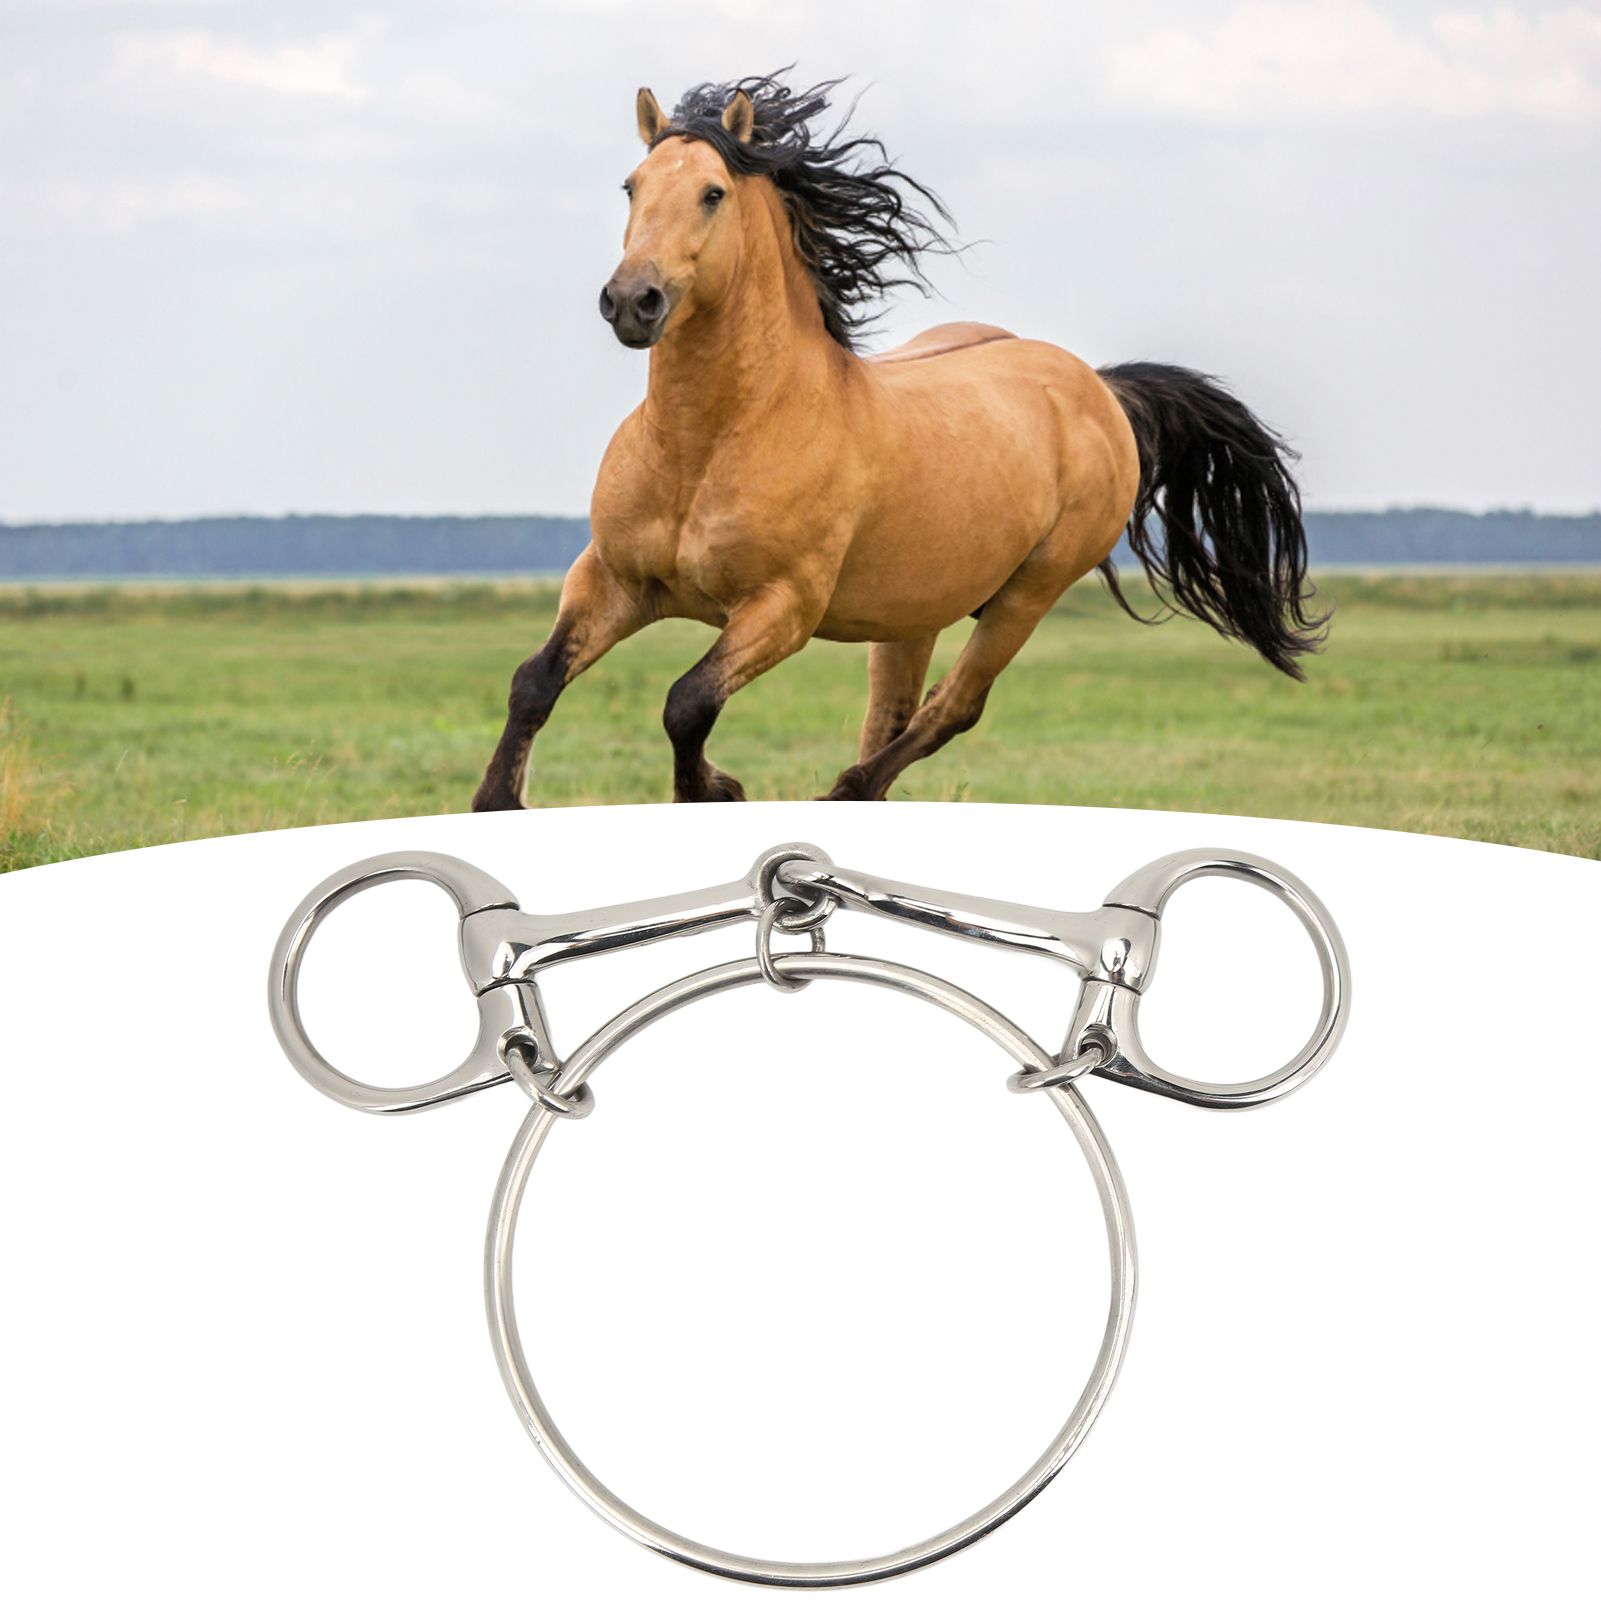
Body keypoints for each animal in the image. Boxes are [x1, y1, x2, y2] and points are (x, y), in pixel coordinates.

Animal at [473, 74, 1325, 809]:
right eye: (631, 186)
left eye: (712, 193)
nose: (632, 301)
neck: (709, 441)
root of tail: (1098, 387)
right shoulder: (611, 579)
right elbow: (532, 681)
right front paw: (497, 801)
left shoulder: (781, 608)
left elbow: (687, 702)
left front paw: (719, 791)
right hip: (914, 613)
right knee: (893, 714)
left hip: (1027, 593)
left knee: (949, 709)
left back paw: (843, 793)